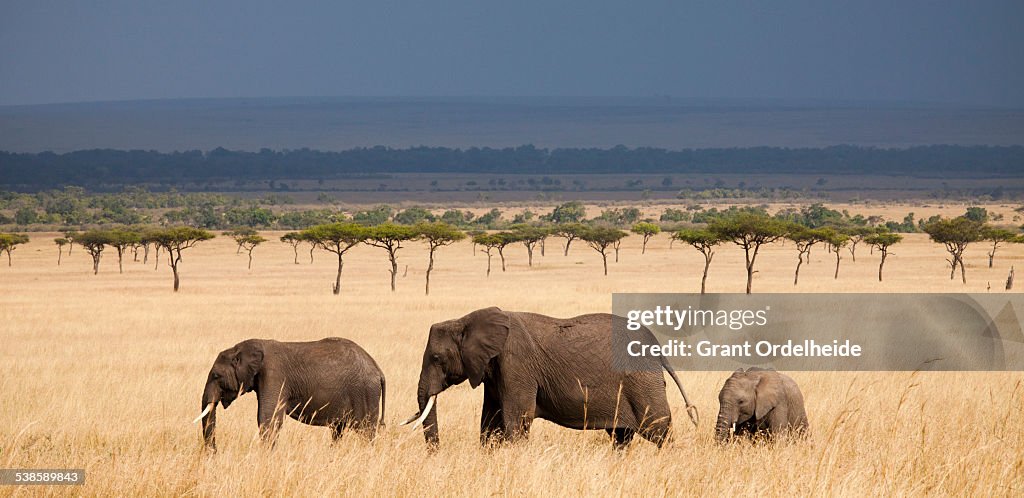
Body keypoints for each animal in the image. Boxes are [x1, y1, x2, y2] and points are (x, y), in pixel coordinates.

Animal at [192, 336, 385, 448]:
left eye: (216, 376)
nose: (214, 453)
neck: (243, 348)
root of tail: (378, 369)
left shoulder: (274, 374)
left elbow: (267, 418)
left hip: (365, 394)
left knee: (366, 432)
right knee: (338, 430)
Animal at [399, 305, 696, 448]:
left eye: (436, 358)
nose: (435, 453)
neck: (465, 320)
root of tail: (657, 348)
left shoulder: (516, 364)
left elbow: (516, 420)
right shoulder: (495, 371)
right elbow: (490, 422)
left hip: (642, 381)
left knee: (658, 429)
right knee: (621, 436)